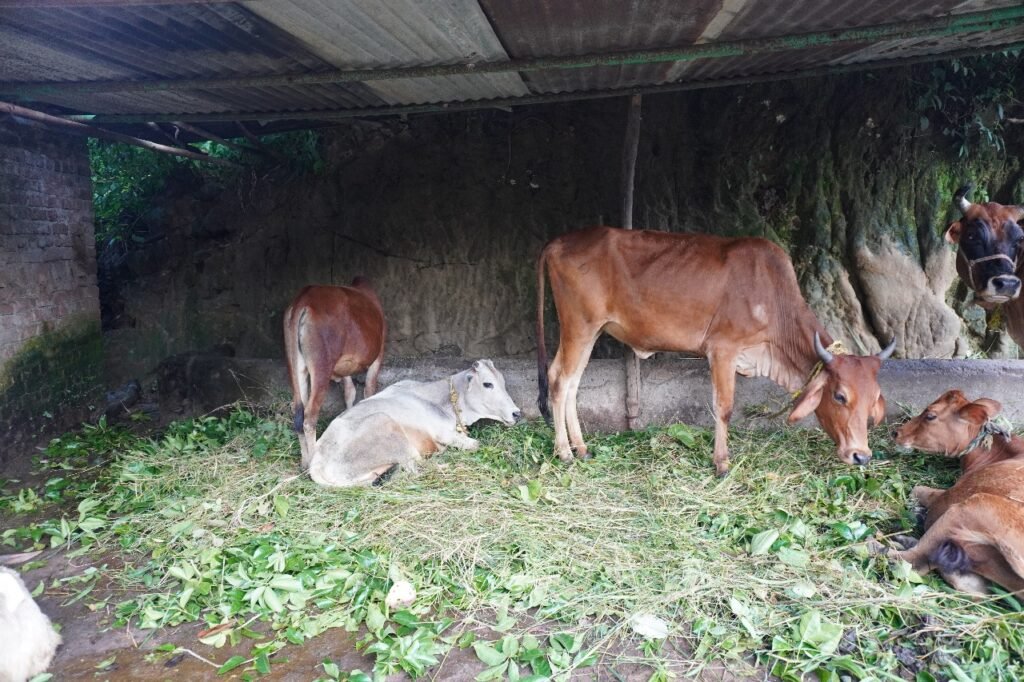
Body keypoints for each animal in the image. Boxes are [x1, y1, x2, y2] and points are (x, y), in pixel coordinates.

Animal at [283, 279, 386, 471]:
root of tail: (304, 299)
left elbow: (349, 392)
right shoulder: (378, 356)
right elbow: (368, 390)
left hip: (295, 364)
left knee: (298, 411)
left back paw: (304, 463)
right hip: (322, 365)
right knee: (310, 416)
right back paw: (312, 464)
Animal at [309, 359, 522, 488]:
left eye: (503, 382)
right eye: (487, 384)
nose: (517, 413)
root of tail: (316, 462)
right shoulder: (443, 433)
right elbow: (476, 444)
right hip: (387, 427)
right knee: (416, 469)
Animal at [535, 226, 895, 476]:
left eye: (873, 397)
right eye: (839, 396)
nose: (861, 455)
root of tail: (557, 243)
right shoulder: (723, 349)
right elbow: (724, 407)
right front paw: (721, 463)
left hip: (591, 330)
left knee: (570, 382)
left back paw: (581, 448)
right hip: (579, 326)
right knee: (559, 380)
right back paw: (564, 452)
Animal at [874, 390, 1024, 595]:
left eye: (931, 415)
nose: (897, 432)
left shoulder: (950, 495)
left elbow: (918, 489)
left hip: (971, 507)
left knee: (912, 561)